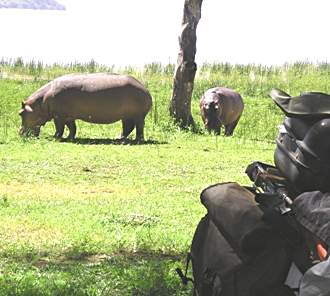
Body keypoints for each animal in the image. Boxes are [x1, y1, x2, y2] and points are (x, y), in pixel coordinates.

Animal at [18, 72, 152, 140]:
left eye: (20, 113)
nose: (19, 133)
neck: (40, 103)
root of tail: (145, 89)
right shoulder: (68, 116)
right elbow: (72, 128)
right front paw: (69, 138)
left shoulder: (58, 116)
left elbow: (59, 128)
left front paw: (55, 137)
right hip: (126, 116)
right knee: (128, 127)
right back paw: (119, 138)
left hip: (138, 116)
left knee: (139, 127)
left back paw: (137, 140)